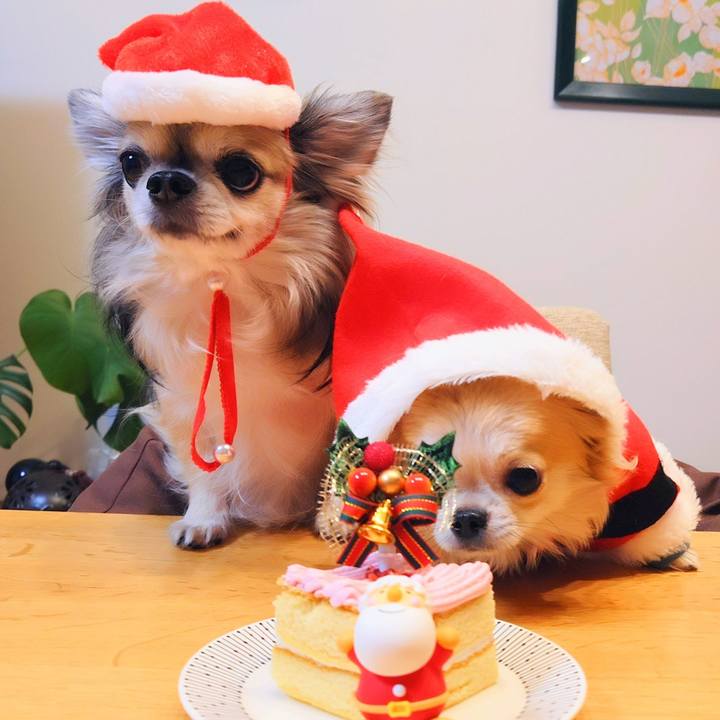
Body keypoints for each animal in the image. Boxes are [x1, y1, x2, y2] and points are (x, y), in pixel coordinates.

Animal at [68, 88, 392, 548]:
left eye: (242, 171)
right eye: (131, 163)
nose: (164, 180)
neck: (223, 286)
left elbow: (347, 458)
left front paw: (336, 519)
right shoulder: (184, 405)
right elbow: (201, 465)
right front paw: (203, 519)